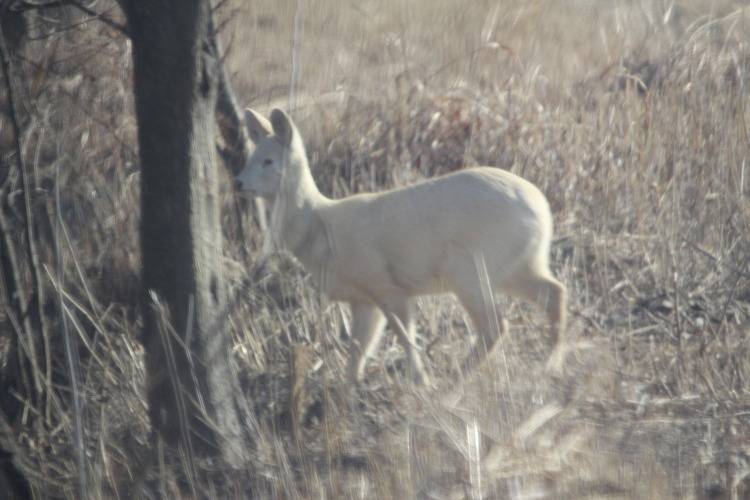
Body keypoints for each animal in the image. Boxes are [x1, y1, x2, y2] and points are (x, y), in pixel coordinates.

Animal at [238, 107, 568, 384]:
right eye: (250, 157)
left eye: (268, 160)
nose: (240, 183)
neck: (320, 228)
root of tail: (542, 210)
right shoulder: (363, 298)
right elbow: (358, 350)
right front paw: (348, 393)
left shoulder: (386, 284)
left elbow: (404, 337)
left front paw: (420, 382)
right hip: (518, 264)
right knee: (554, 292)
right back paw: (547, 366)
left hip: (470, 269)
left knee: (496, 325)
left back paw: (454, 383)